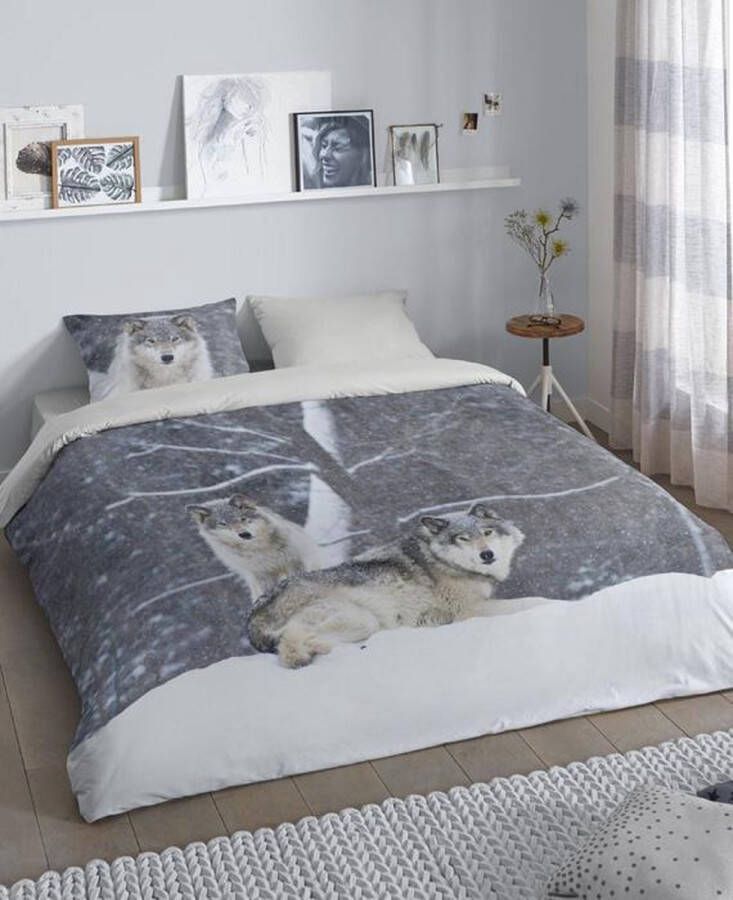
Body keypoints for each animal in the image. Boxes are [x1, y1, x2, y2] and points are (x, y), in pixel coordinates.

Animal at [188, 494, 324, 602]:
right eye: (223, 524)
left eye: (242, 518)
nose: (244, 534)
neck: (258, 548)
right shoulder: (260, 572)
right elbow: (267, 589)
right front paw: (266, 597)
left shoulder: (293, 561)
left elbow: (296, 576)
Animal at [247, 503, 525, 668]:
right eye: (463, 539)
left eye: (487, 533)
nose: (486, 554)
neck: (441, 560)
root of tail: (252, 616)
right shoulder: (470, 610)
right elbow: (526, 603)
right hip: (361, 619)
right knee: (291, 643)